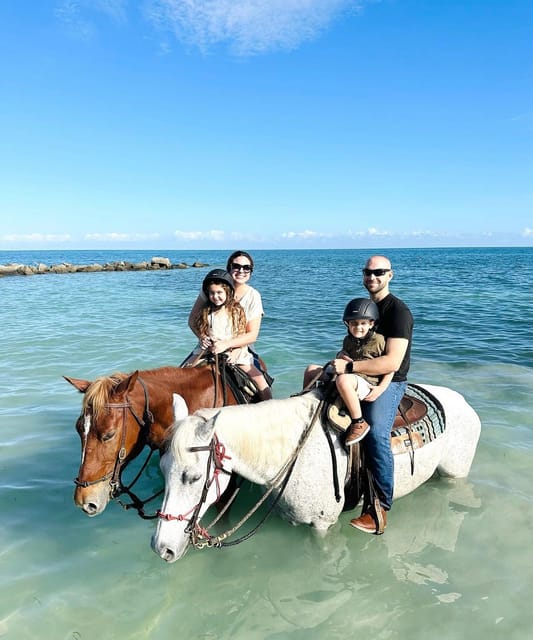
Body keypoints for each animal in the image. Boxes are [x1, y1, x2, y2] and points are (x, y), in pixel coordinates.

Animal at [151, 383, 481, 563]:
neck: (291, 451)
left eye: (193, 477)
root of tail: (463, 402)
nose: (161, 548)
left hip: (455, 474)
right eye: (163, 470)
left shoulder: (323, 526)